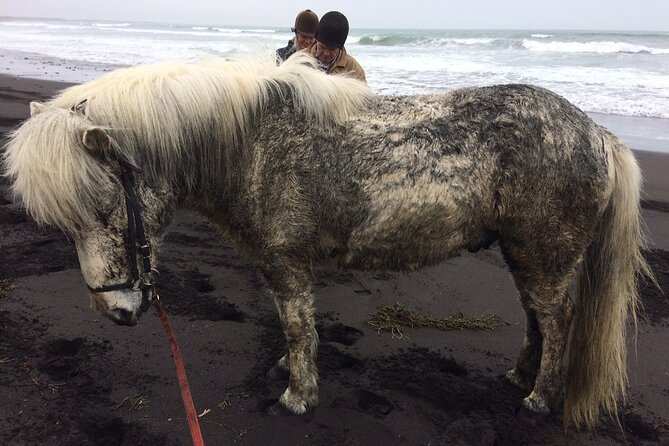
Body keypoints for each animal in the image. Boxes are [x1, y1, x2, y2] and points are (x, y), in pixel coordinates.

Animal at [2, 53, 650, 429]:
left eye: (104, 208)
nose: (115, 311)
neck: (248, 142)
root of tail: (597, 133)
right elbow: (293, 324)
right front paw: (290, 373)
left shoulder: (286, 260)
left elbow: (296, 324)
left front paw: (298, 395)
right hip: (525, 254)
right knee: (538, 318)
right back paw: (520, 377)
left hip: (547, 254)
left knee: (557, 320)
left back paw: (539, 399)